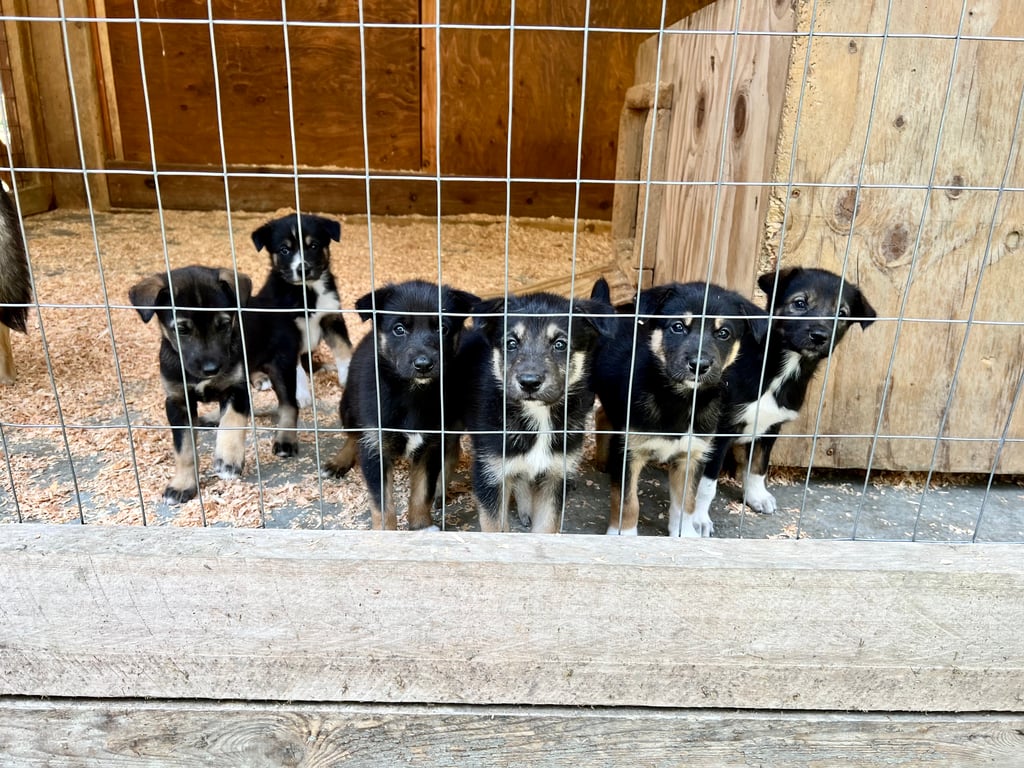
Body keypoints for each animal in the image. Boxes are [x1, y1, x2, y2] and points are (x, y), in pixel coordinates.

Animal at [128, 266, 256, 505]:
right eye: (181, 330)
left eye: (224, 325)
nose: (211, 369)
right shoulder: (177, 402)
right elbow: (184, 450)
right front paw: (183, 484)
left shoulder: (238, 388)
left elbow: (232, 421)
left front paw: (228, 458)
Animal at [249, 211, 354, 403]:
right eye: (284, 250)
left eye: (313, 246)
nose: (303, 269)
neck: (307, 291)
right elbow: (294, 368)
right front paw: (302, 396)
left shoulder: (331, 316)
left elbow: (343, 348)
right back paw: (261, 378)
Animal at [321, 280, 477, 532]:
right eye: (399, 329)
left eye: (442, 329)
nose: (423, 365)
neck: (411, 393)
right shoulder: (375, 448)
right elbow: (381, 502)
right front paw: (386, 533)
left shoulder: (431, 446)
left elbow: (422, 492)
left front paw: (421, 526)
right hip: (347, 407)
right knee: (352, 436)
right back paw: (339, 461)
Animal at [589, 280, 765, 536]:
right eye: (678, 327)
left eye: (723, 333)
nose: (699, 365)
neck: (679, 399)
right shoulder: (629, 453)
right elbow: (628, 501)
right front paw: (624, 534)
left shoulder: (691, 457)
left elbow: (687, 502)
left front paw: (684, 535)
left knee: (603, 414)